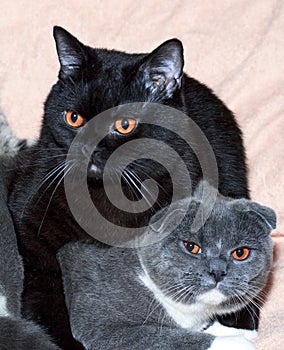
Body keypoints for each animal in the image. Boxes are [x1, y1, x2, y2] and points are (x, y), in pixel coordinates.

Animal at [7, 26, 248, 348]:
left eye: (124, 125)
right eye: (74, 118)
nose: (89, 147)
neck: (104, 192)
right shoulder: (29, 217)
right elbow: (44, 283)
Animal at [58, 183, 276, 350]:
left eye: (241, 253)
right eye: (191, 246)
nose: (217, 271)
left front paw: (240, 332)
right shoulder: (102, 327)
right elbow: (164, 336)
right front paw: (236, 342)